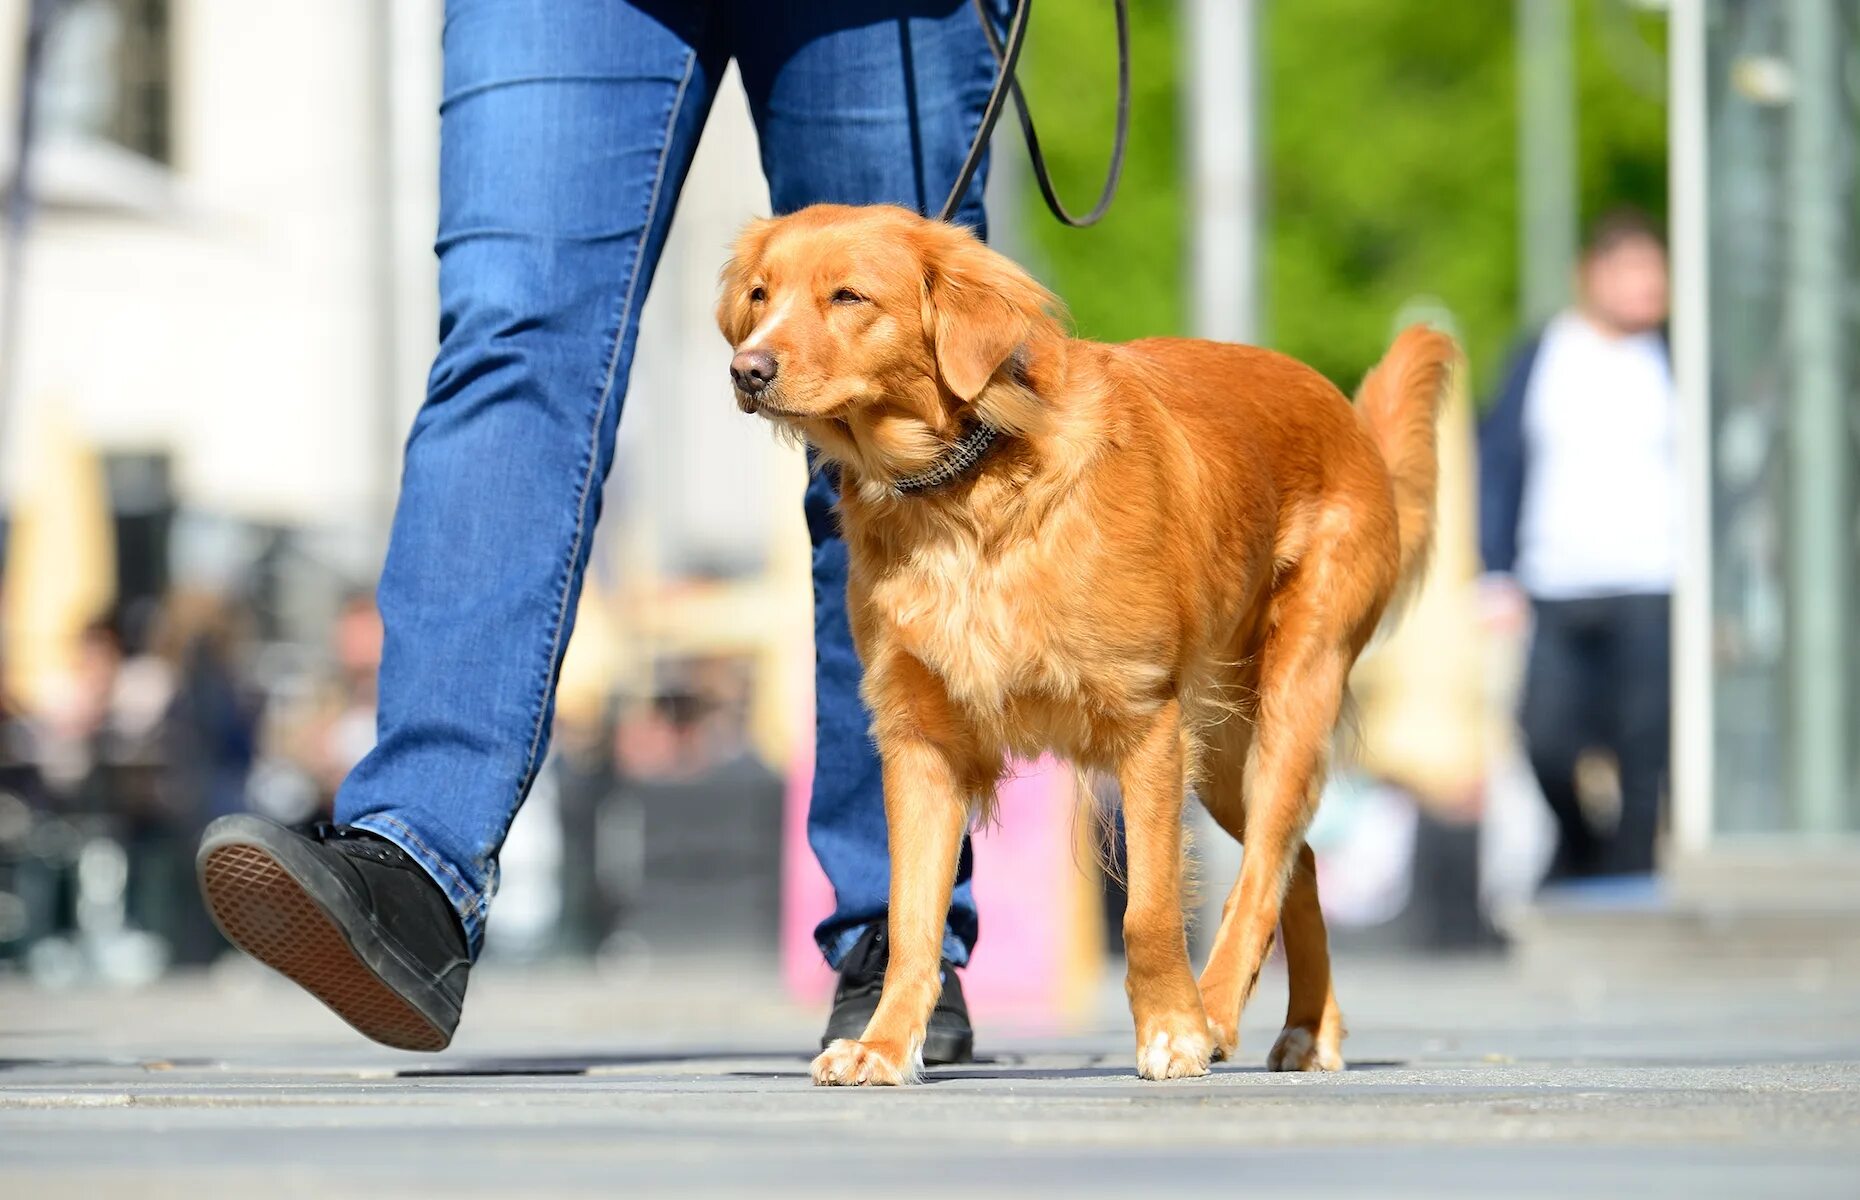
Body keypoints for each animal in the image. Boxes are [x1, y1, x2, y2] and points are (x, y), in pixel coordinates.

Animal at [717, 200, 1458, 1079]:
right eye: (761, 296)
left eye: (849, 297)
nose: (746, 369)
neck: (966, 491)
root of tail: (1345, 414)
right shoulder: (921, 740)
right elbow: (910, 920)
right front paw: (884, 1046)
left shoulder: (1147, 724)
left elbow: (1149, 912)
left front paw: (1173, 1031)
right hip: (1224, 752)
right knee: (1294, 861)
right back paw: (1313, 1027)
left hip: (1292, 696)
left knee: (1261, 873)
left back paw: (1216, 1012)